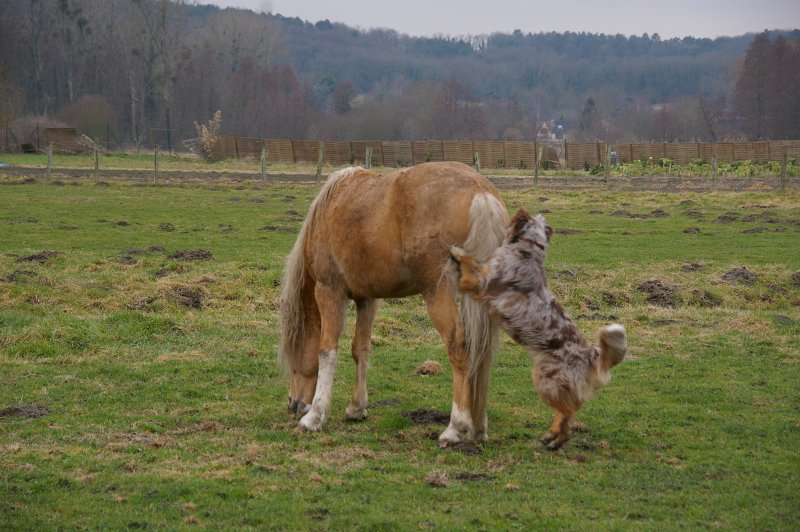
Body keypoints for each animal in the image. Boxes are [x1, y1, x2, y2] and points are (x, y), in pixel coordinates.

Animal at [278, 160, 510, 442]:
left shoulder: (329, 291)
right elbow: (360, 349)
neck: (328, 209)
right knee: (481, 353)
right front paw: (356, 408)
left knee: (459, 347)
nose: (293, 403)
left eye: (293, 355)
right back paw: (478, 427)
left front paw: (315, 417)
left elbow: (327, 351)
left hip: (438, 292)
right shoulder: (367, 299)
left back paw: (456, 427)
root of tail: (479, 191)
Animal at [450, 208, 624, 448]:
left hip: (545, 380)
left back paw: (554, 437)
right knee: (568, 414)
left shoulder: (480, 283)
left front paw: (456, 250)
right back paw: (552, 437)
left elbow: (470, 262)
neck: (528, 251)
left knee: (569, 412)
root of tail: (591, 355)